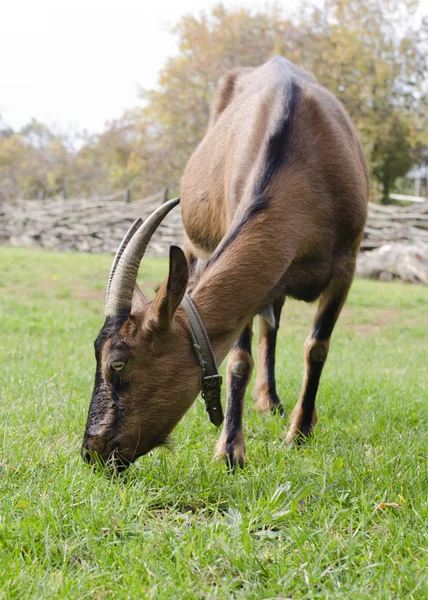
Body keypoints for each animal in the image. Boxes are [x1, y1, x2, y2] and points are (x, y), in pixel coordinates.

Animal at [83, 56, 368, 468]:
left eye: (117, 363)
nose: (92, 450)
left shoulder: (347, 264)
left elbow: (317, 348)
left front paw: (298, 433)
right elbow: (239, 359)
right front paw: (230, 449)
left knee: (273, 326)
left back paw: (279, 404)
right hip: (195, 245)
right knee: (269, 326)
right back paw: (266, 400)